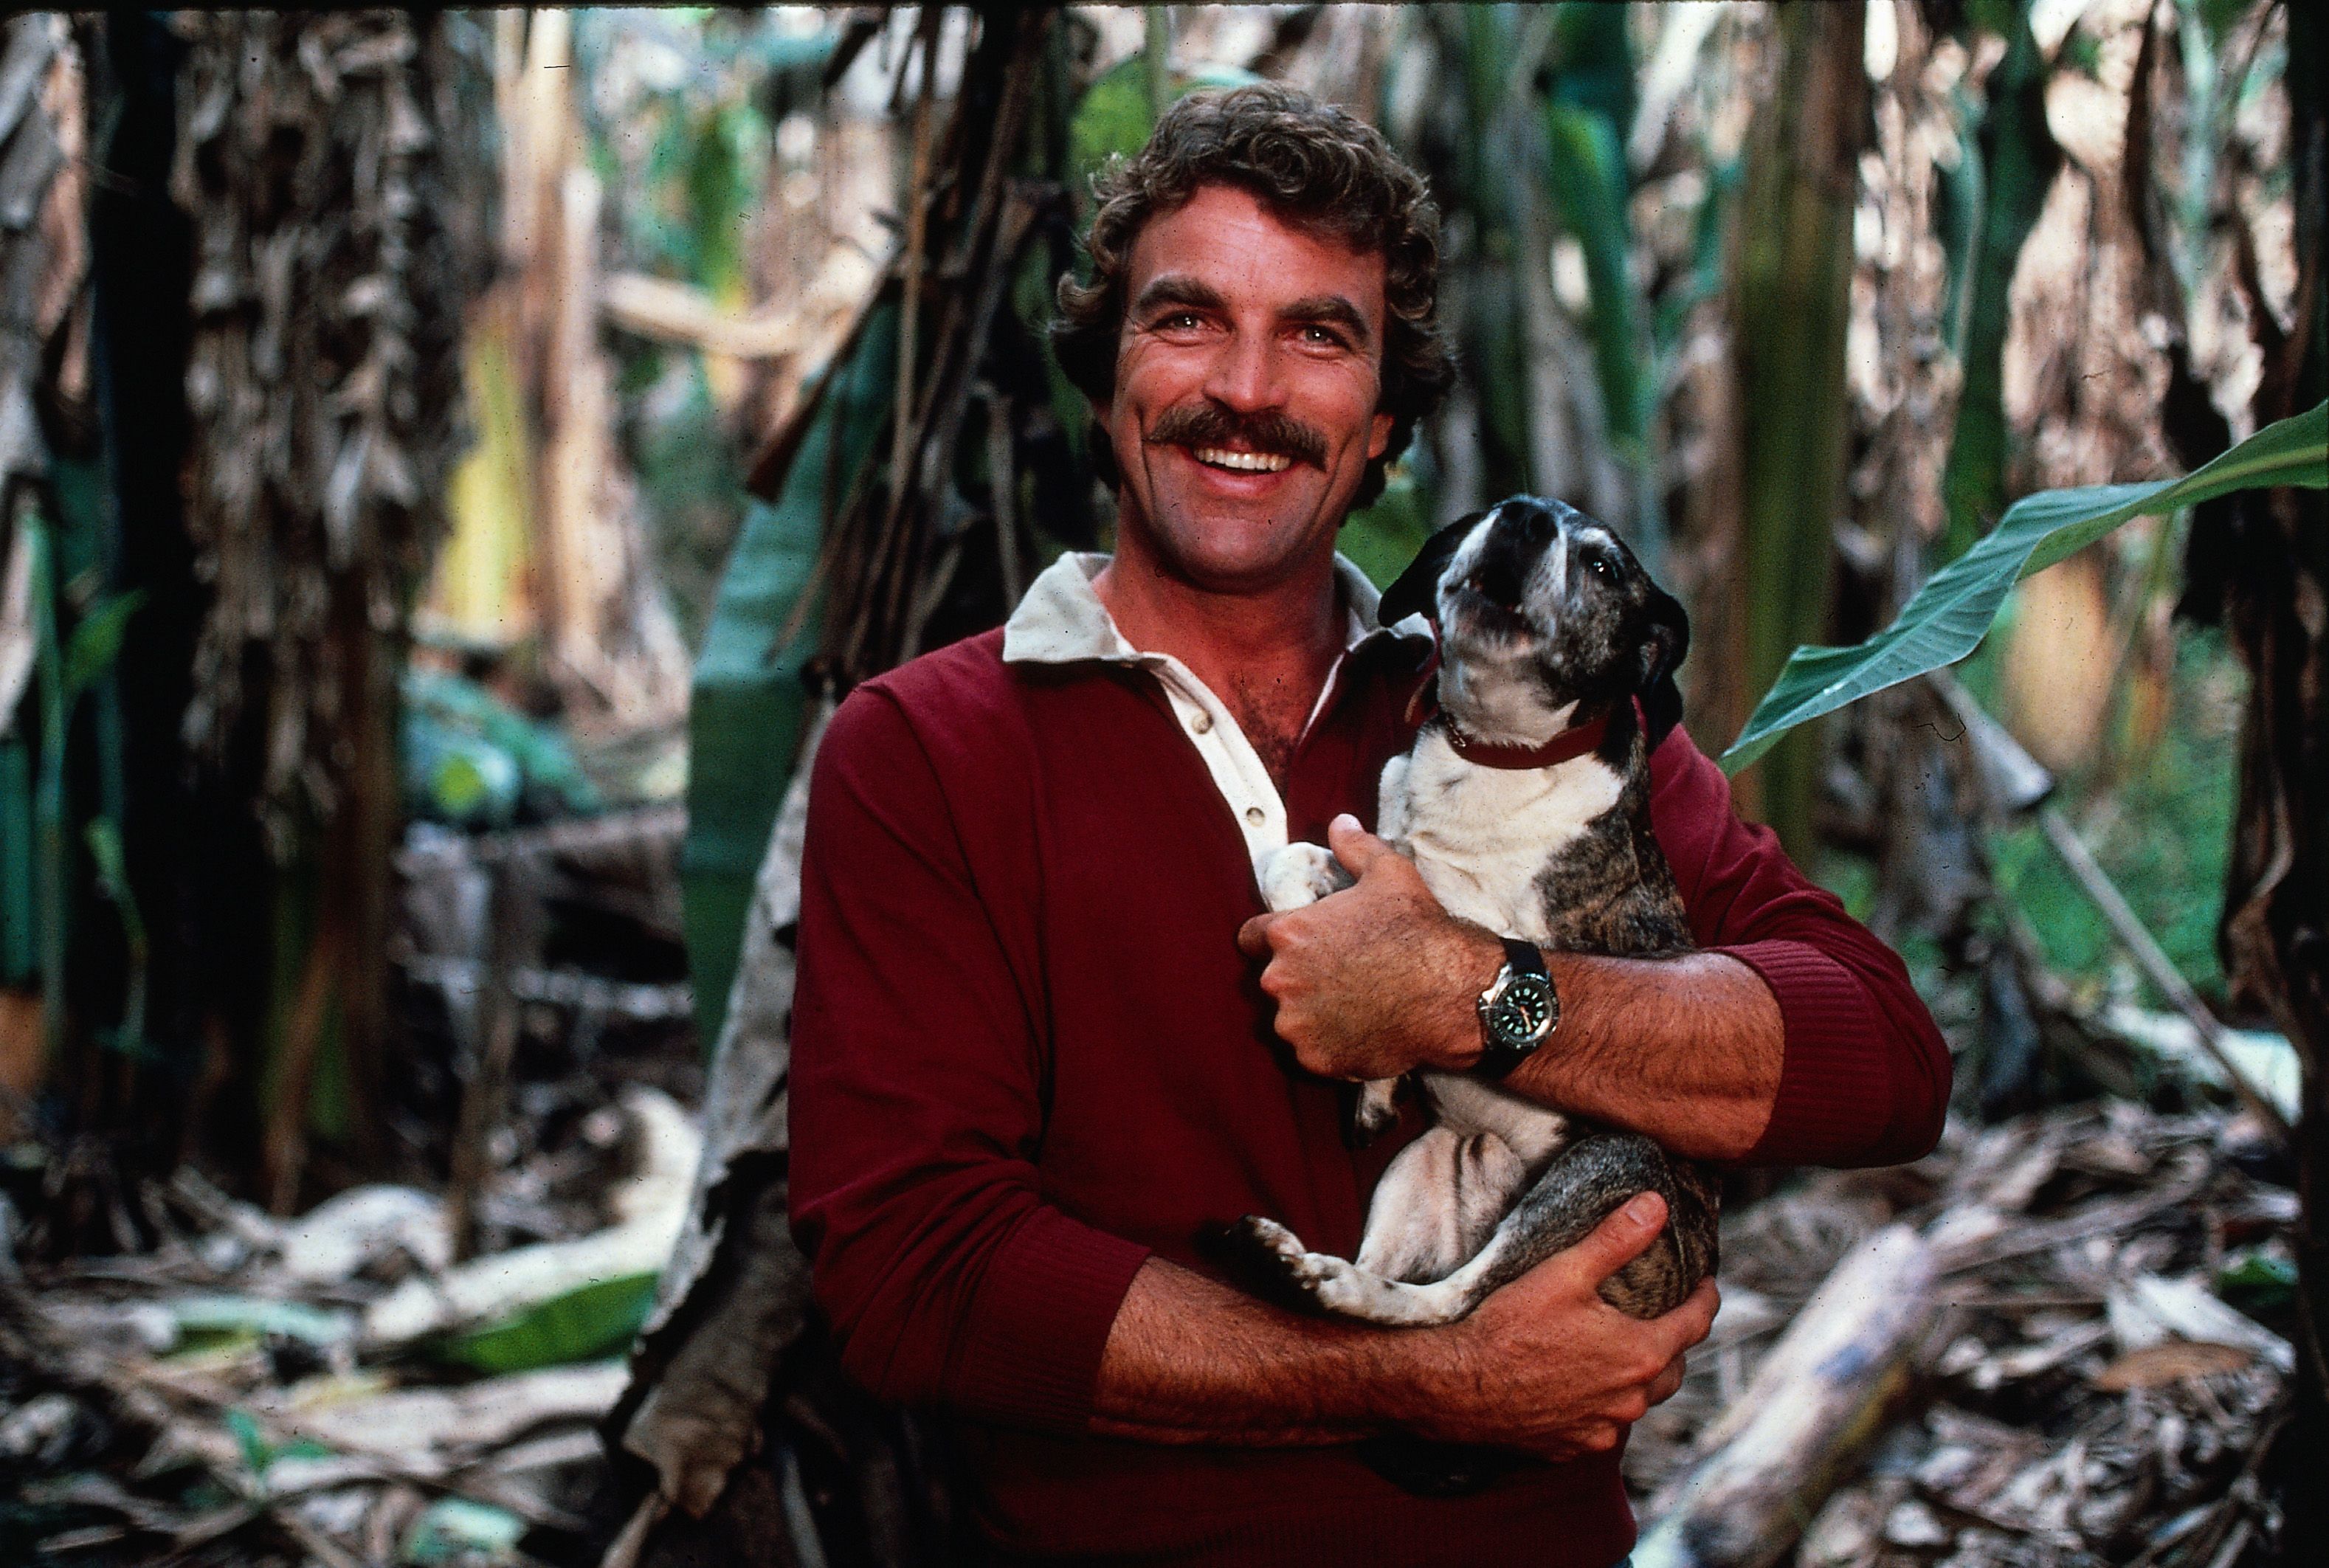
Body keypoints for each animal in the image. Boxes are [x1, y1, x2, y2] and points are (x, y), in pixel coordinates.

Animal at [1238, 496, 1714, 1341]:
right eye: (1491, 511)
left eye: (1604, 566)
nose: (1523, 518)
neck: (1492, 752)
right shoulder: (1374, 849)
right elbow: (1292, 862)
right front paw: (1373, 1087)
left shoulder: (1477, 913)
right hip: (1418, 1166)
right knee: (1386, 1290)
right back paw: (1301, 1268)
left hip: (1609, 1167)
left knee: (1451, 1301)